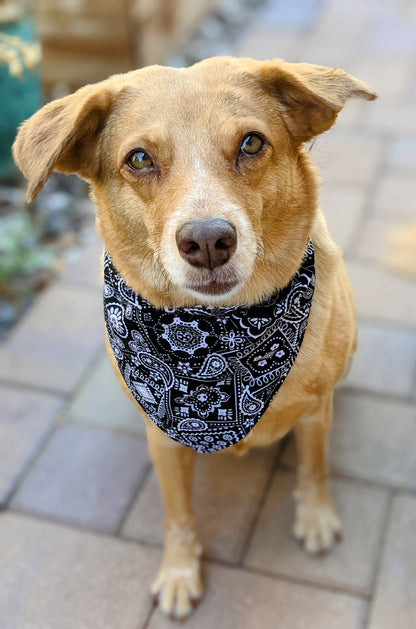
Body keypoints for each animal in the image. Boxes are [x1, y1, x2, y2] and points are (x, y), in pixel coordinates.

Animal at [13, 57, 376, 620]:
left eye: (251, 143)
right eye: (139, 158)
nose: (207, 240)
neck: (218, 334)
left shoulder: (317, 413)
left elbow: (314, 470)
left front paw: (315, 517)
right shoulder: (163, 441)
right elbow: (177, 513)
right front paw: (180, 570)